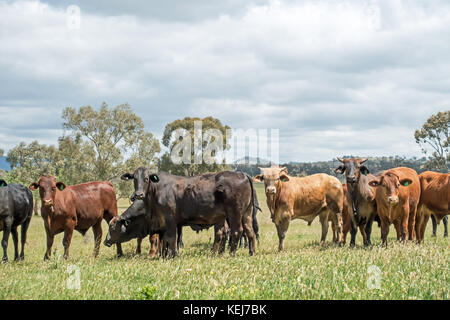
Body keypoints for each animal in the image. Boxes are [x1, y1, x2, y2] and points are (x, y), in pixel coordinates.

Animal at [119, 169, 258, 258]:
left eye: (146, 179)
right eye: (134, 179)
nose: (138, 194)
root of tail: (242, 174)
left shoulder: (170, 219)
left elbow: (171, 237)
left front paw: (172, 255)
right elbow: (164, 239)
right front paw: (164, 254)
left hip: (235, 214)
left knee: (237, 231)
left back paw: (232, 253)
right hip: (246, 214)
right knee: (249, 231)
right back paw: (251, 252)